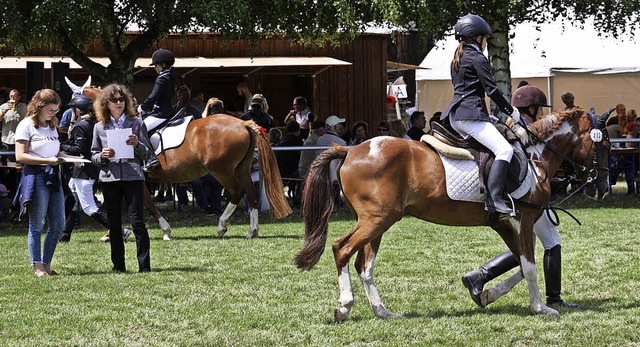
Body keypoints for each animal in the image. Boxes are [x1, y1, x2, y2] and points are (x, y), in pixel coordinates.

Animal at [296, 109, 608, 324]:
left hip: (378, 223)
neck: (535, 159)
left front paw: (484, 292)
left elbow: (521, 264)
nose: (603, 187)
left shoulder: (506, 225)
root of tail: (350, 149)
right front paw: (540, 307)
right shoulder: (523, 222)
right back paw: (344, 307)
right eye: (603, 146)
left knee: (364, 265)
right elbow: (529, 267)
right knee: (342, 249)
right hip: (376, 220)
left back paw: (383, 311)